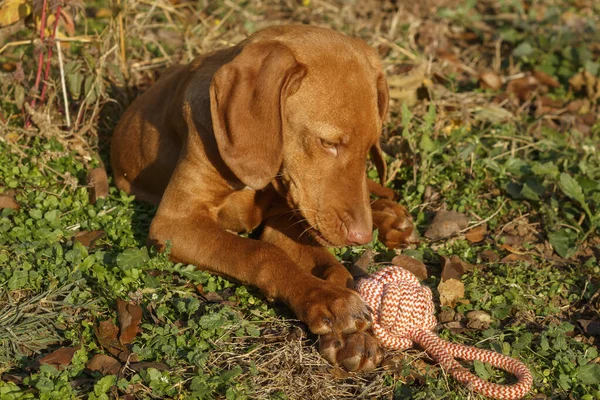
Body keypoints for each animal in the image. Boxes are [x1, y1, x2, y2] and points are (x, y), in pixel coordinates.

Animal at [111, 25, 418, 372]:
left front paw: (349, 328)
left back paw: (391, 218)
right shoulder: (174, 223)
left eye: (370, 146)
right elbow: (261, 253)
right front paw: (330, 301)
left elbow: (331, 265)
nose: (362, 237)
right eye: (328, 143)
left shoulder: (285, 218)